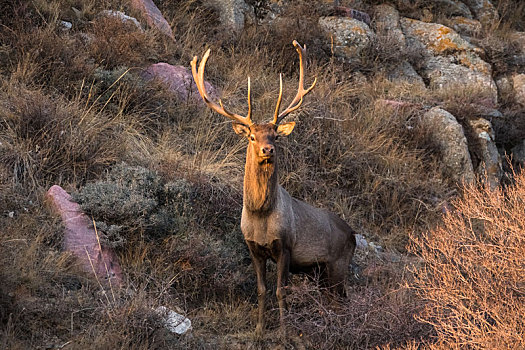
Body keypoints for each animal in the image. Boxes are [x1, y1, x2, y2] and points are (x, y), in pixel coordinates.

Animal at [189, 39, 356, 334]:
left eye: (275, 135)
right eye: (252, 136)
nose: (267, 149)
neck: (260, 216)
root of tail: (354, 235)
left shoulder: (285, 247)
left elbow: (280, 291)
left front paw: (284, 331)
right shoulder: (253, 248)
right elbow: (261, 290)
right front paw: (258, 329)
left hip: (338, 264)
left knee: (342, 299)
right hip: (321, 272)